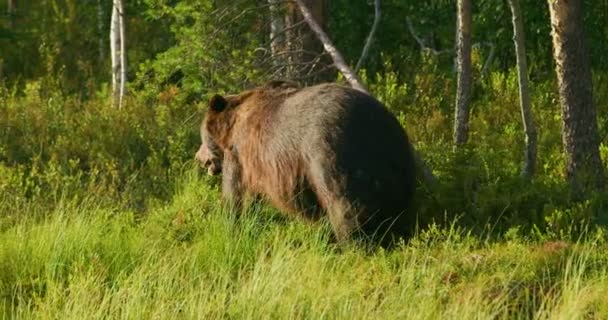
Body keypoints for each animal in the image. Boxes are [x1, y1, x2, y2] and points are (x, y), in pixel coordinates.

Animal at [196, 82, 418, 245]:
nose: (199, 158)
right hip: (398, 163)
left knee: (344, 205)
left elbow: (236, 194)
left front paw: (230, 223)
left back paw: (351, 245)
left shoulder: (240, 153)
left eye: (202, 136)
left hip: (329, 154)